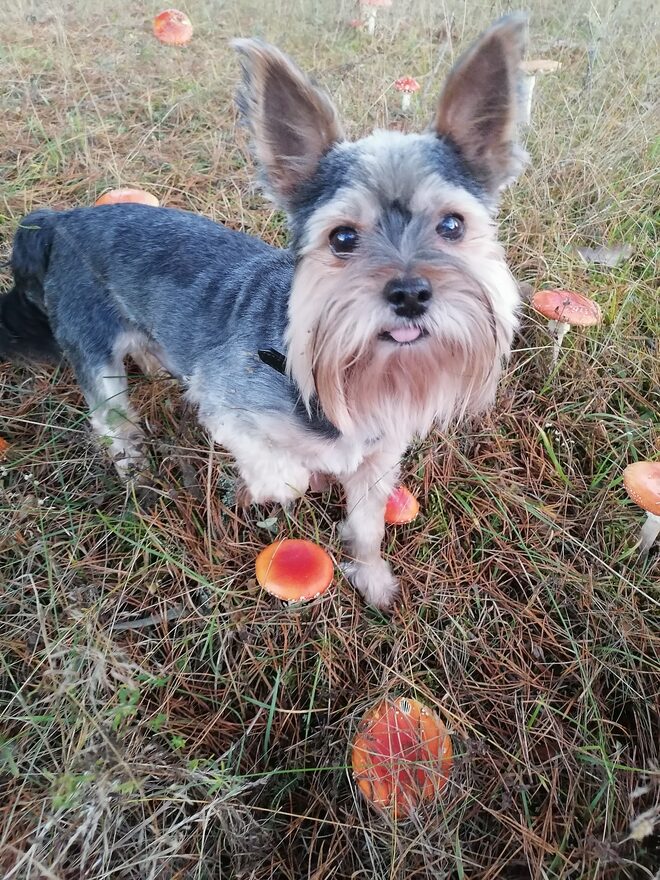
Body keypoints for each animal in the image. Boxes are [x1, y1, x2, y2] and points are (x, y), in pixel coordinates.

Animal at [0, 13, 524, 608]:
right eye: (342, 238)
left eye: (452, 225)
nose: (411, 293)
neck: (338, 378)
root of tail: (60, 219)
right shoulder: (226, 407)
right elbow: (286, 475)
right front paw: (281, 488)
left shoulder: (379, 460)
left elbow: (368, 525)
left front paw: (371, 578)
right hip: (93, 350)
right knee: (110, 420)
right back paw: (135, 467)